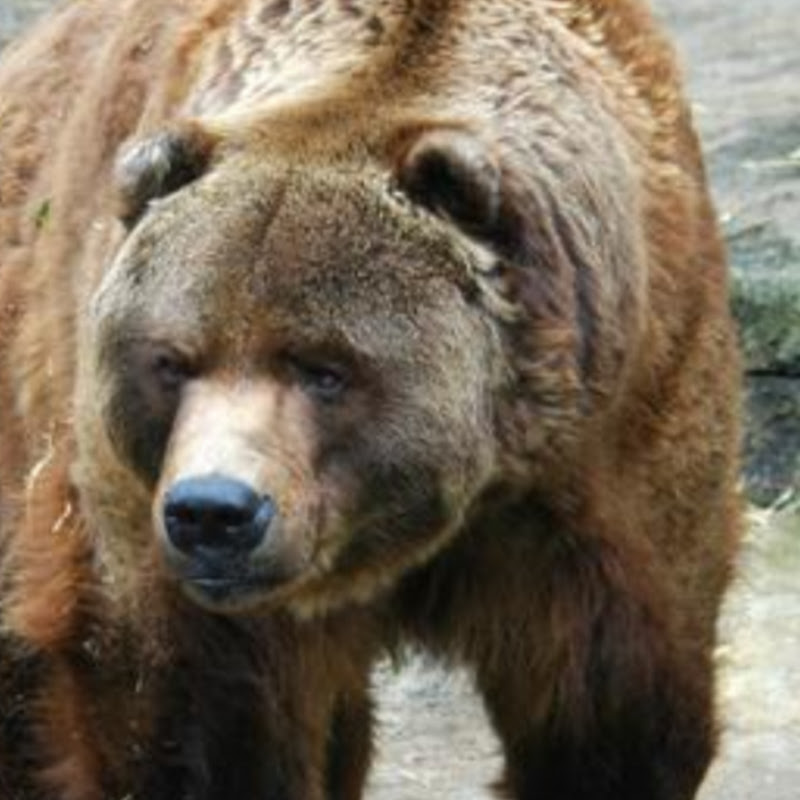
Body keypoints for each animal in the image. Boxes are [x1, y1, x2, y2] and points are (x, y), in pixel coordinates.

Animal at [0, 1, 742, 799]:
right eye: (172, 360)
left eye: (325, 368)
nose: (214, 511)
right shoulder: (144, 518)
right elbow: (190, 709)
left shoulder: (619, 430)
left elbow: (612, 704)